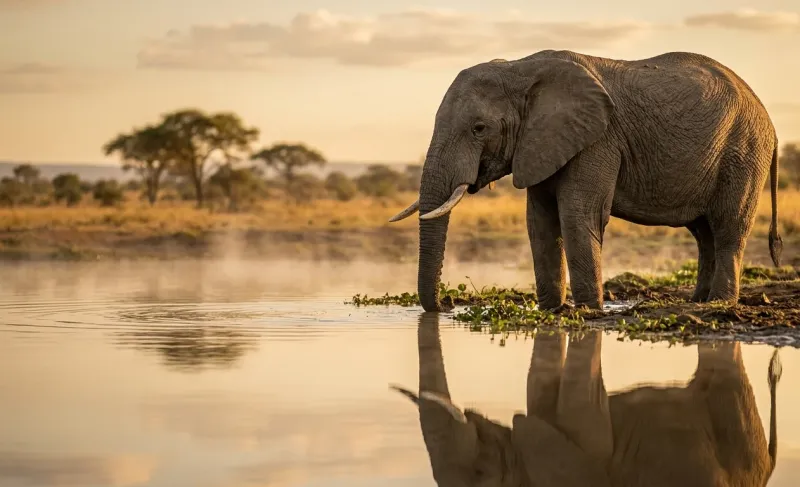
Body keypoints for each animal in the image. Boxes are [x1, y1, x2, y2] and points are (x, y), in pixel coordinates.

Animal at [389, 50, 783, 312]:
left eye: (479, 128)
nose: (447, 306)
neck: (520, 68)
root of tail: (770, 120)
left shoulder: (599, 140)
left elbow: (579, 215)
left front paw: (589, 312)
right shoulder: (541, 143)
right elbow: (540, 222)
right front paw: (552, 311)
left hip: (744, 151)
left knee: (727, 227)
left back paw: (718, 305)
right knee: (703, 233)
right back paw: (697, 301)